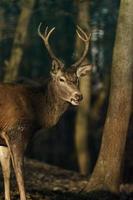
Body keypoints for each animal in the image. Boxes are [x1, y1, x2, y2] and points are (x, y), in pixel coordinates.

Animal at [0, 23, 91, 200]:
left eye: (77, 79)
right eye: (61, 79)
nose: (78, 96)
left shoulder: (3, 139)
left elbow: (6, 172)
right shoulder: (16, 131)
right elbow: (20, 173)